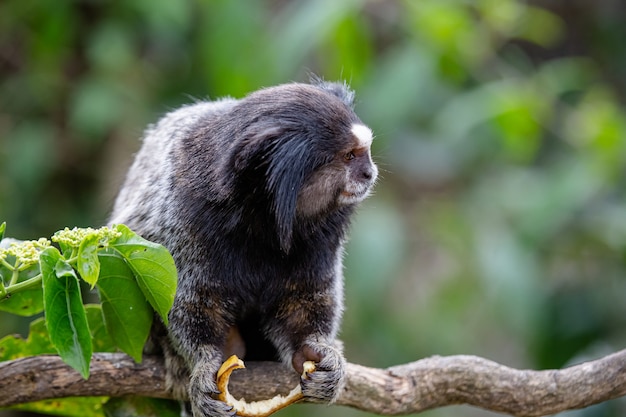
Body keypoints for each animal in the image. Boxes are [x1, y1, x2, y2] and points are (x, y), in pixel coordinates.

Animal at [108, 79, 376, 416]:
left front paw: (316, 351)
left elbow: (307, 296)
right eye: (350, 156)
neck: (260, 215)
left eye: (365, 153)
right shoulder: (184, 216)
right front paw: (201, 365)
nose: (370, 172)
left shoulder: (324, 236)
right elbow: (189, 300)